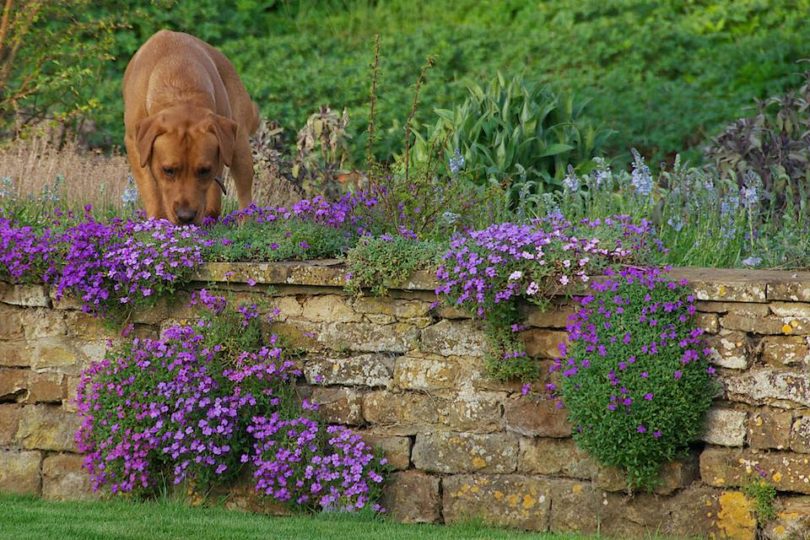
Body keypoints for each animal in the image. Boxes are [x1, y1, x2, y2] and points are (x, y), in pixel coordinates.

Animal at [122, 30, 258, 225]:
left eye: (203, 170)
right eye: (168, 170)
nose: (185, 217)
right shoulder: (135, 143)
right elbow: (151, 190)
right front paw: (157, 221)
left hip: (238, 144)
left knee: (244, 192)